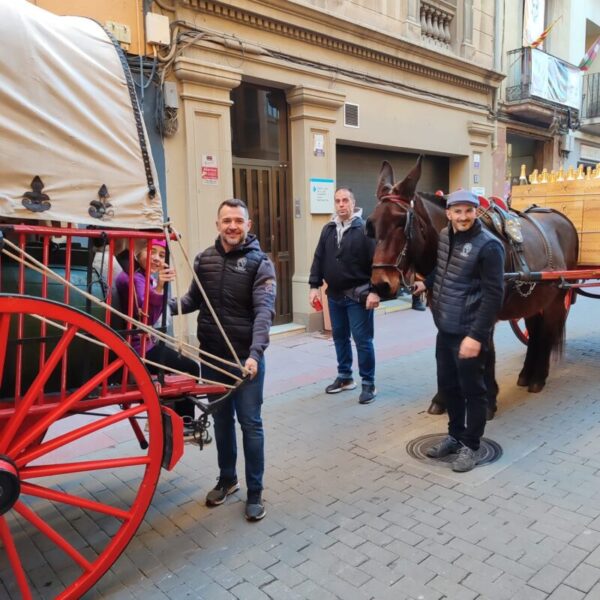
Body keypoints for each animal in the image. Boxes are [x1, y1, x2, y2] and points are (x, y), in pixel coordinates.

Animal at [368, 157, 580, 414]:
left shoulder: (486, 313)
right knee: (536, 331)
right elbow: (444, 351)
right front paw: (444, 398)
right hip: (535, 299)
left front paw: (487, 401)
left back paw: (539, 377)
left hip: (557, 298)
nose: (381, 284)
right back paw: (527, 374)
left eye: (401, 222)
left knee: (546, 333)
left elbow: (485, 354)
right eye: (372, 224)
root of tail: (561, 218)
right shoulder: (443, 312)